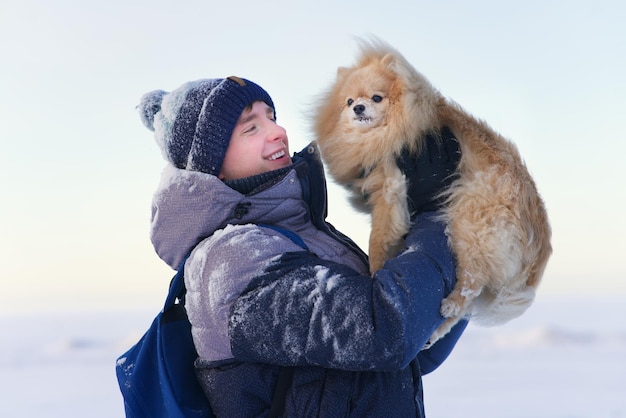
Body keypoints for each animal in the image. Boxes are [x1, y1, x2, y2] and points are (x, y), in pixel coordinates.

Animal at [312, 39, 552, 344]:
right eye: (350, 101)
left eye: (377, 98)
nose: (359, 108)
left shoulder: (392, 190)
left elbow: (378, 239)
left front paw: (374, 270)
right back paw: (434, 332)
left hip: (471, 227)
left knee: (470, 285)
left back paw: (450, 304)